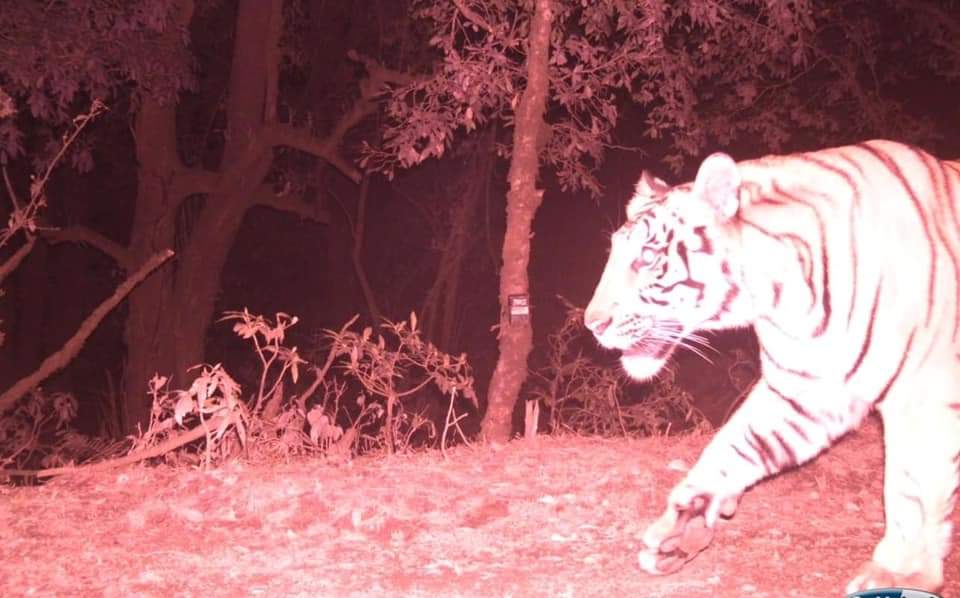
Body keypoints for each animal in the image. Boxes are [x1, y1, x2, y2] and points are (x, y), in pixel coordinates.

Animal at [583, 139, 960, 593]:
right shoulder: (808, 391)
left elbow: (910, 487)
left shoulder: (922, 396)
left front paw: (901, 572)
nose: (592, 323)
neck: (784, 296)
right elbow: (734, 445)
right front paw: (684, 526)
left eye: (648, 257)